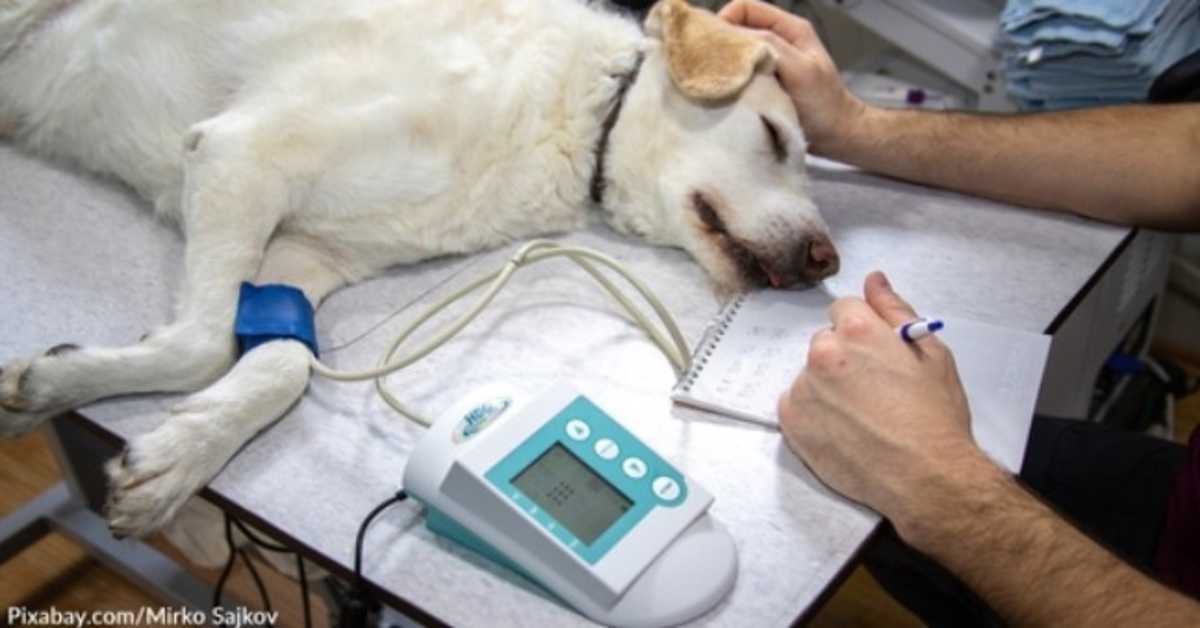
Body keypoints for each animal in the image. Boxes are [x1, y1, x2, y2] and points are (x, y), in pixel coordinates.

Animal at [0, 0, 840, 537]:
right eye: (773, 137)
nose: (827, 261)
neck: (576, 118)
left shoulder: (304, 256)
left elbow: (282, 365)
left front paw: (174, 454)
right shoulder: (243, 153)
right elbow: (204, 345)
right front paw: (60, 387)